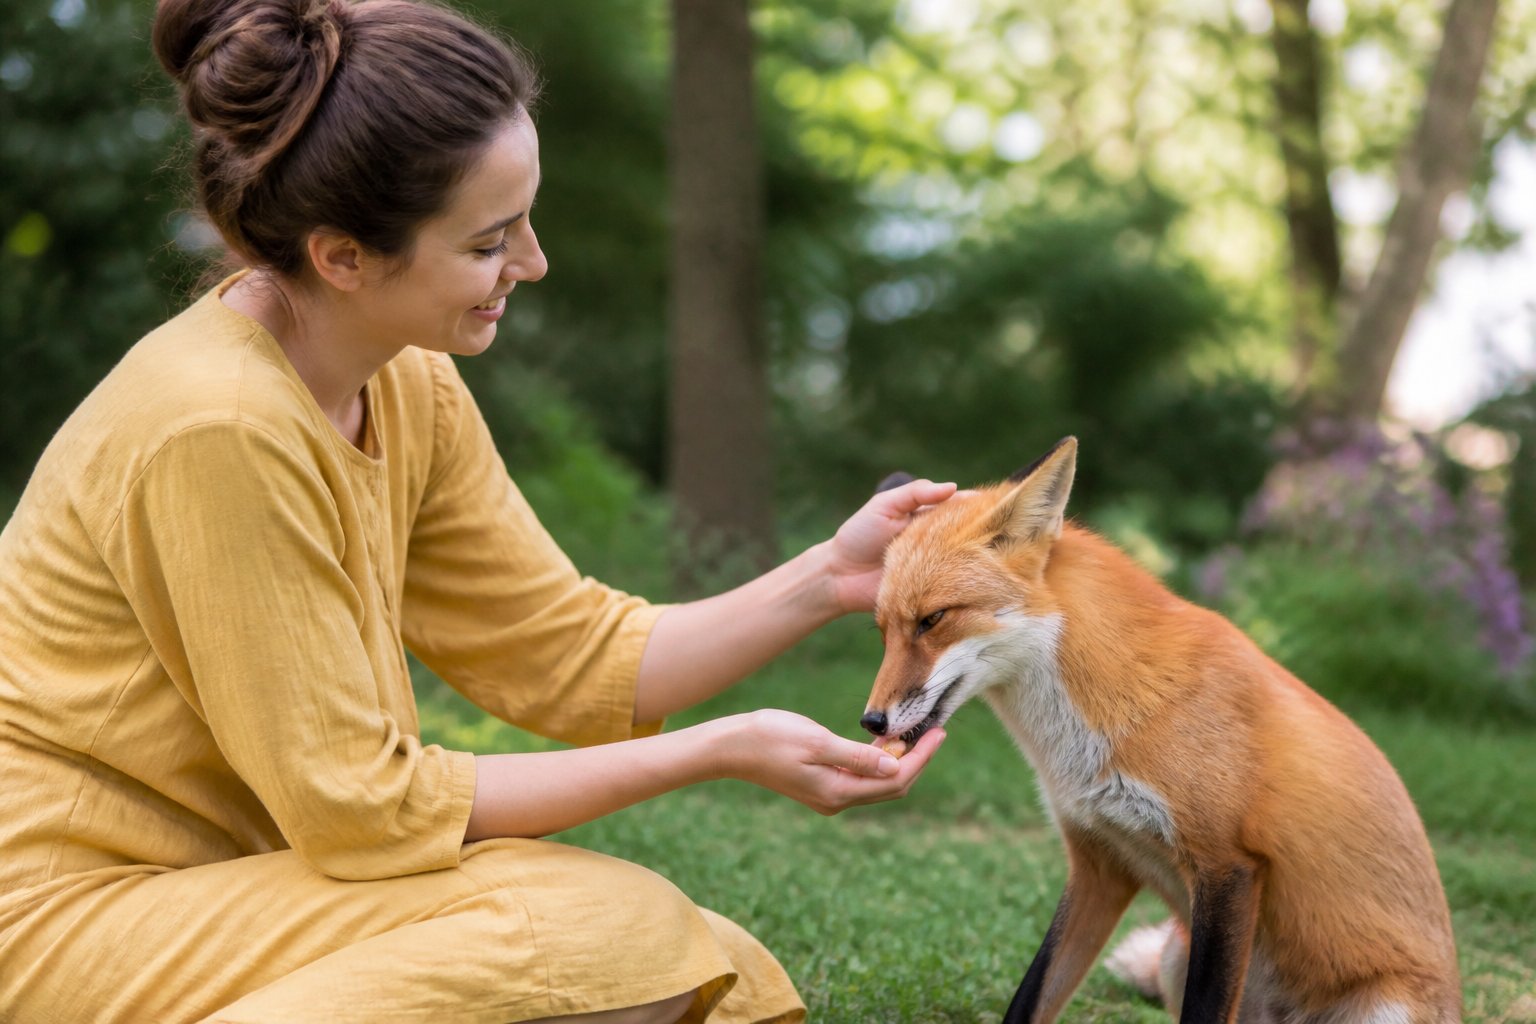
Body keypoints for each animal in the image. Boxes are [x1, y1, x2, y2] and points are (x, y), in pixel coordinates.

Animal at [859, 437, 1461, 1024]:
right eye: (882, 630)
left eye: (933, 620)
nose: (871, 720)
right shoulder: (1100, 864)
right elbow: (1030, 999)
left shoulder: (1227, 866)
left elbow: (1202, 1011)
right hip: (1176, 954)